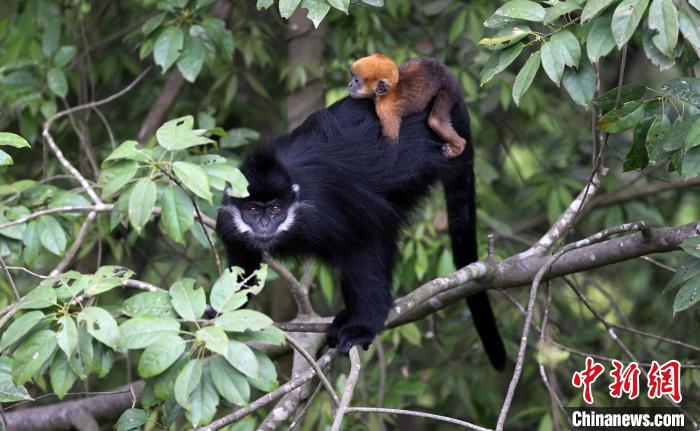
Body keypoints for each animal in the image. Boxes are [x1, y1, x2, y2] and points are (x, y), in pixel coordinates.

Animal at [216, 98, 506, 372]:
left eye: (275, 209)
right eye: (253, 210)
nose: (264, 226)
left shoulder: (325, 212)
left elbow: (365, 242)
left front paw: (363, 327)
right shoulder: (229, 219)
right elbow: (243, 263)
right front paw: (220, 314)